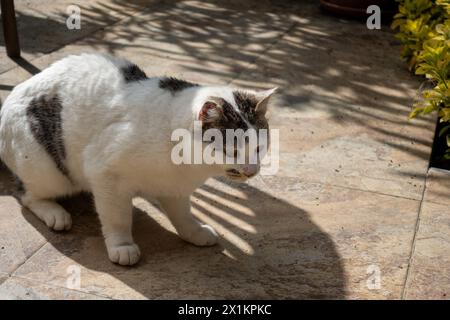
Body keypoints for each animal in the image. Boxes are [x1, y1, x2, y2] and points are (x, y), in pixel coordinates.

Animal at [0, 53, 276, 264]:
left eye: (259, 147)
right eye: (232, 150)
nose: (251, 170)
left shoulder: (174, 188)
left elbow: (183, 215)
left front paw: (194, 232)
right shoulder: (105, 173)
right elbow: (117, 218)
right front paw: (122, 246)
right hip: (47, 170)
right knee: (26, 195)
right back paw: (55, 214)